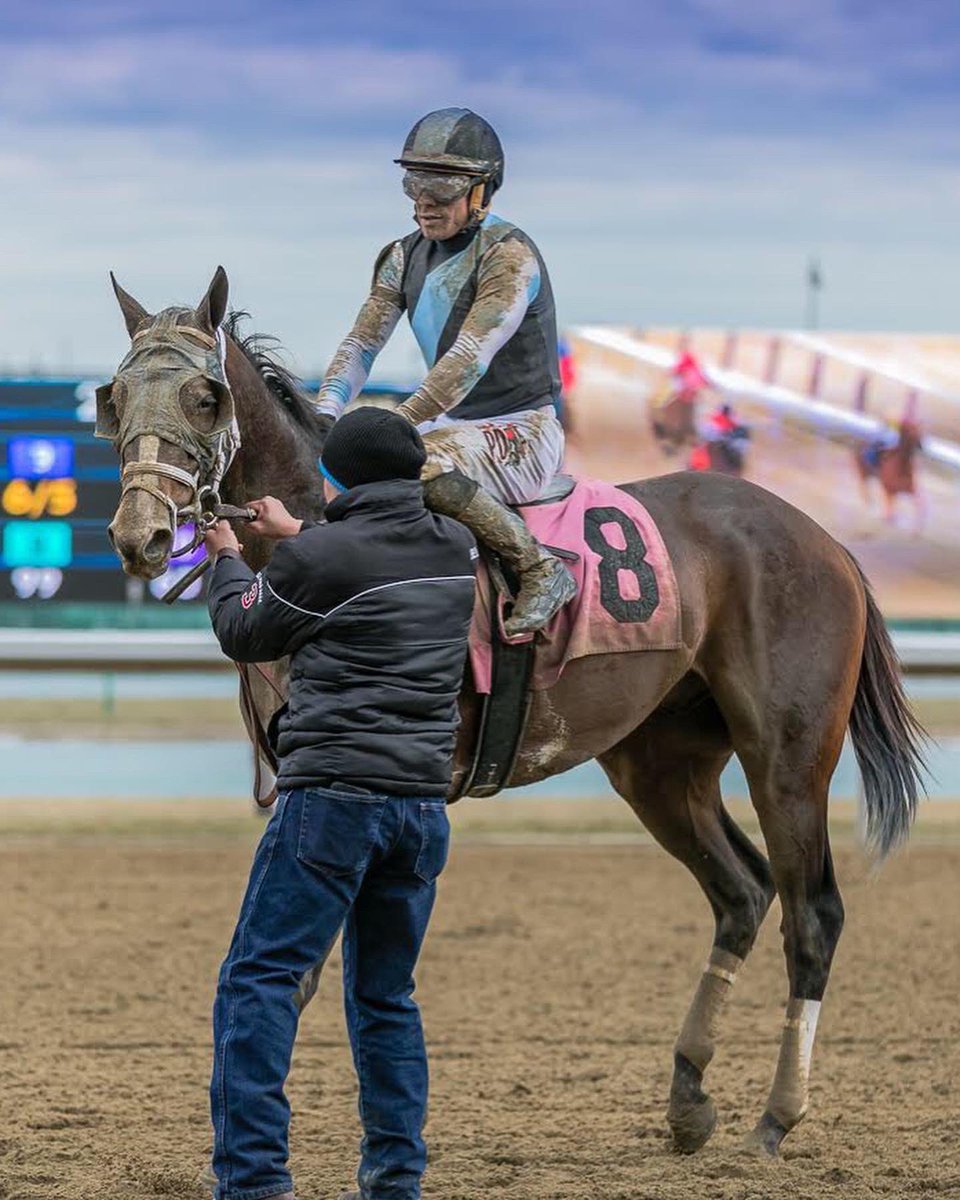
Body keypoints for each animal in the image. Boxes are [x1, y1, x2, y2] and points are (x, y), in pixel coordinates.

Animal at [100, 268, 925, 1160]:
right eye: (116, 395)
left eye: (205, 396)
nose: (140, 535)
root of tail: (826, 543)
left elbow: (306, 966)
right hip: (659, 763)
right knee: (742, 890)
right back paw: (688, 1097)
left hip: (787, 757)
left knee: (813, 913)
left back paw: (775, 1116)